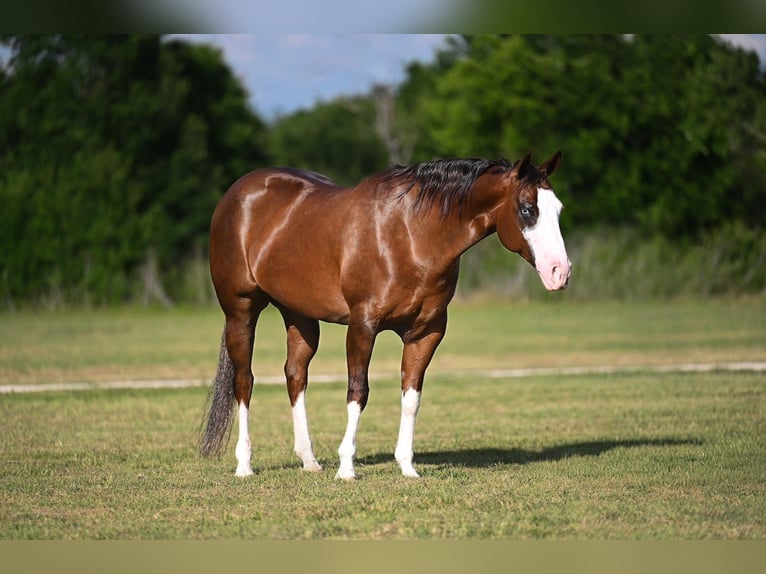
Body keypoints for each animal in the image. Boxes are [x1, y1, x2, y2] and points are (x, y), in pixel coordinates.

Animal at [200, 151, 571, 479]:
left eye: (558, 209)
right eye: (527, 209)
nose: (560, 272)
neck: (410, 236)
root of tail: (238, 192)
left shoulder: (426, 332)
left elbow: (411, 397)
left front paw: (407, 467)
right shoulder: (362, 327)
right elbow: (358, 392)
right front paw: (346, 468)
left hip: (299, 315)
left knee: (295, 375)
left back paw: (309, 460)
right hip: (241, 311)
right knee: (244, 381)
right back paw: (244, 465)